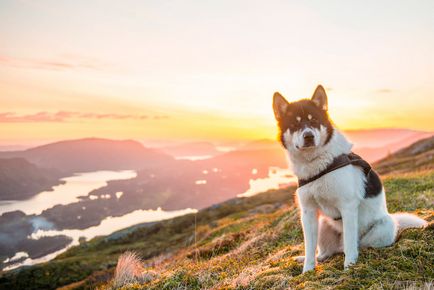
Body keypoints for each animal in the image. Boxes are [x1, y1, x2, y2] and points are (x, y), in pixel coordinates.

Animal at [272, 84, 426, 272]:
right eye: (294, 123)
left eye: (314, 120)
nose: (309, 136)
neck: (318, 164)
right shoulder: (308, 213)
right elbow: (309, 247)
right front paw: (307, 270)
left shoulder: (348, 207)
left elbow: (351, 243)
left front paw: (350, 266)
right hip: (323, 225)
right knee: (325, 253)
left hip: (383, 228)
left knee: (358, 244)